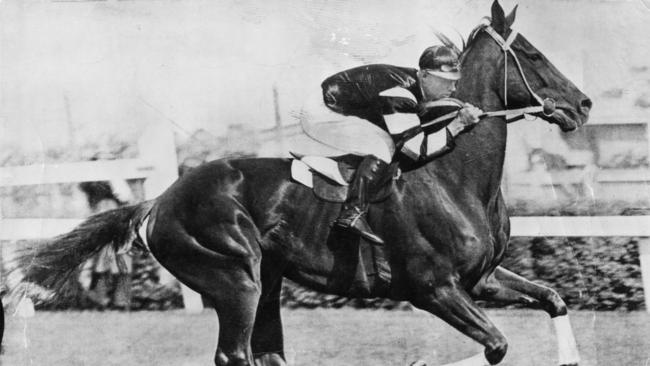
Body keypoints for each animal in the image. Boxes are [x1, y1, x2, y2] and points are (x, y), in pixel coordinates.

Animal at [8, 1, 588, 364]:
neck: (456, 179)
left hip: (266, 281)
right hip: (234, 279)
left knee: (266, 353)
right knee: (234, 353)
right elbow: (495, 345)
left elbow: (554, 299)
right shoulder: (432, 288)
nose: (583, 104)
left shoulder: (481, 279)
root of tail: (157, 201)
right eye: (533, 55)